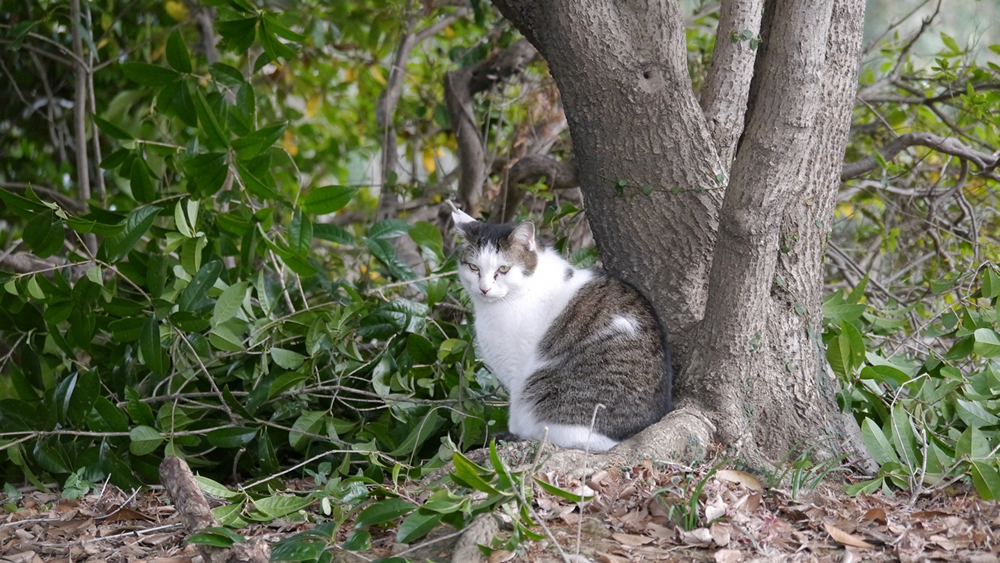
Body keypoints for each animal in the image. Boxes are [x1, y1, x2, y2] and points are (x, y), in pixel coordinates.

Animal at [452, 209, 672, 452]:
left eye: (503, 269)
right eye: (474, 268)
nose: (484, 288)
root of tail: (631, 437)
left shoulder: (517, 372)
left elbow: (514, 410)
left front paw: (513, 433)